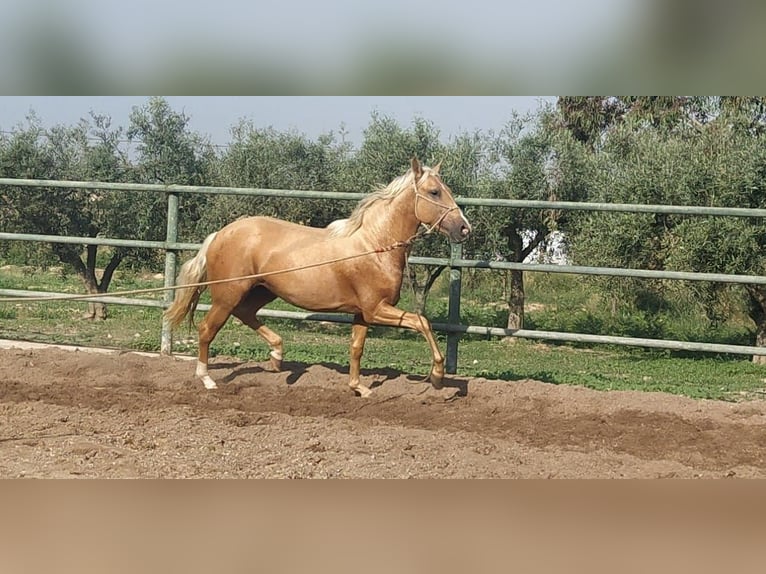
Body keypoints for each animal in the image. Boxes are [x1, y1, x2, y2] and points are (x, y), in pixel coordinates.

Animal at [165, 160, 472, 398]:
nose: (464, 228)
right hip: (227, 294)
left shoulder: (363, 314)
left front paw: (358, 387)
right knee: (207, 329)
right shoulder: (377, 309)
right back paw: (207, 379)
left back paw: (277, 357)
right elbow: (422, 322)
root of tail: (220, 234)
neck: (375, 246)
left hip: (262, 290)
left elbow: (356, 348)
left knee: (246, 313)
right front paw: (437, 376)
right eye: (434, 192)